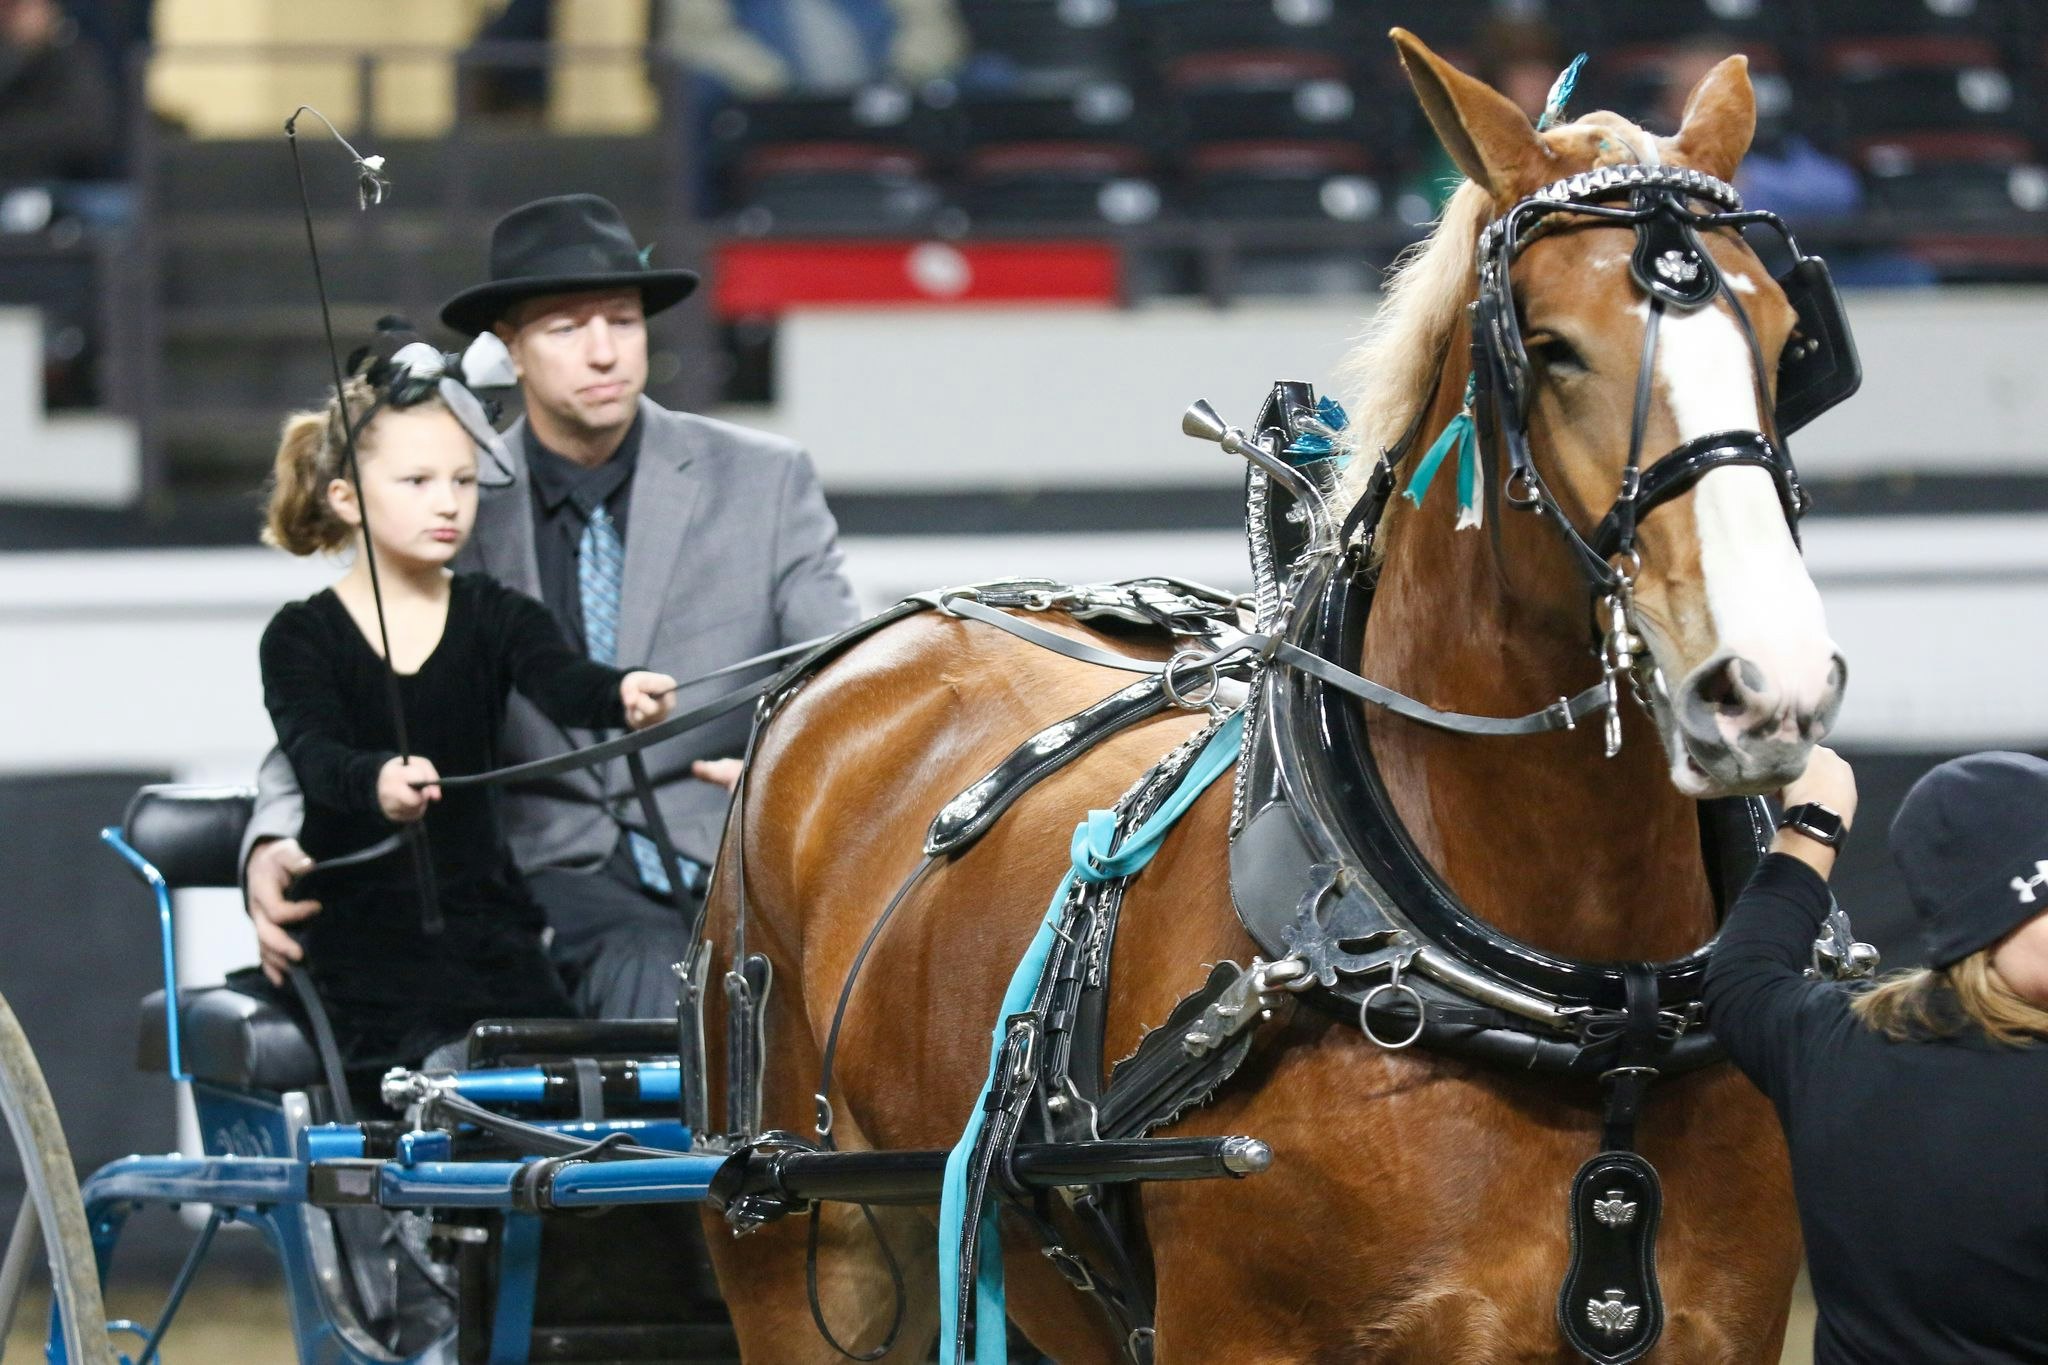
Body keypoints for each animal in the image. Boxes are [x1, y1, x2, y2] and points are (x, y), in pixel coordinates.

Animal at [697, 30, 1843, 1362]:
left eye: (1785, 341)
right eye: (1550, 346)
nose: (1766, 678)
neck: (1593, 1015)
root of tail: (889, 632)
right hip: (802, 1256)